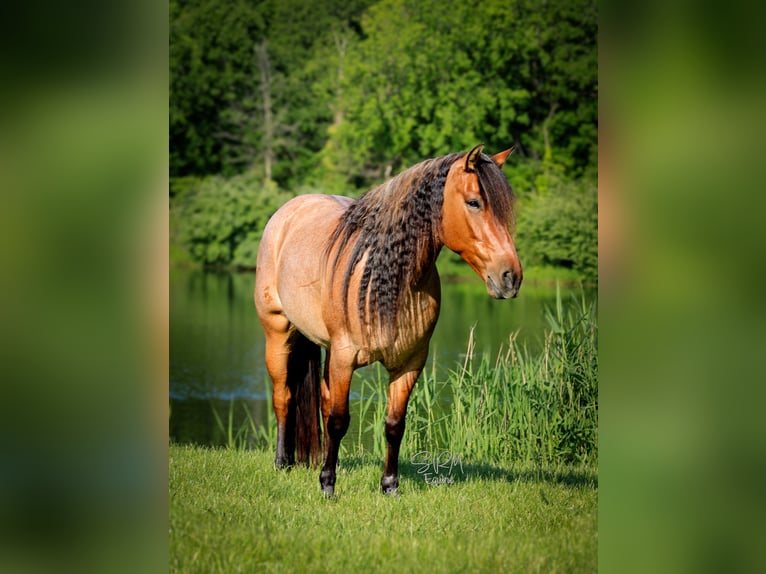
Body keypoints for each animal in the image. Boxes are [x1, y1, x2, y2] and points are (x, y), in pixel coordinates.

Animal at [254, 144, 522, 496]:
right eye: (474, 202)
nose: (511, 277)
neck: (389, 277)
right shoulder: (345, 358)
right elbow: (339, 420)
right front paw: (328, 485)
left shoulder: (409, 363)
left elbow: (394, 424)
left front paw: (390, 485)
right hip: (278, 333)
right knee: (283, 397)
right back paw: (282, 462)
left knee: (320, 401)